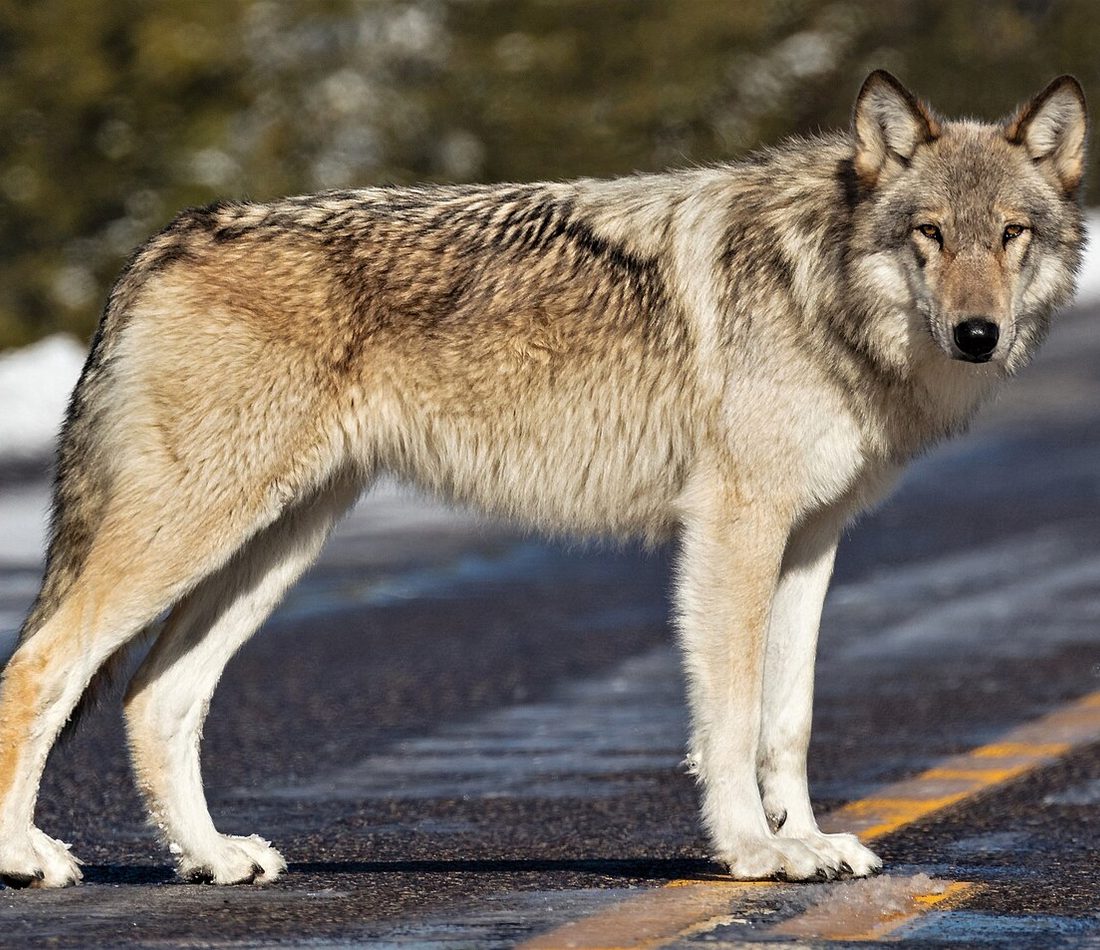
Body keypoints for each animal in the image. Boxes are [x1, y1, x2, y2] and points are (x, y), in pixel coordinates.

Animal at [0, 71, 1087, 888]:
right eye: (930, 234)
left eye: (1011, 235)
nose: (977, 334)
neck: (819, 286)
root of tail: (171, 235)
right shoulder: (732, 529)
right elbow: (731, 717)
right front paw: (751, 851)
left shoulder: (810, 540)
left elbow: (788, 719)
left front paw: (807, 841)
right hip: (195, 533)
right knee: (40, 666)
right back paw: (28, 856)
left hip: (274, 545)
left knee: (155, 697)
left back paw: (215, 857)